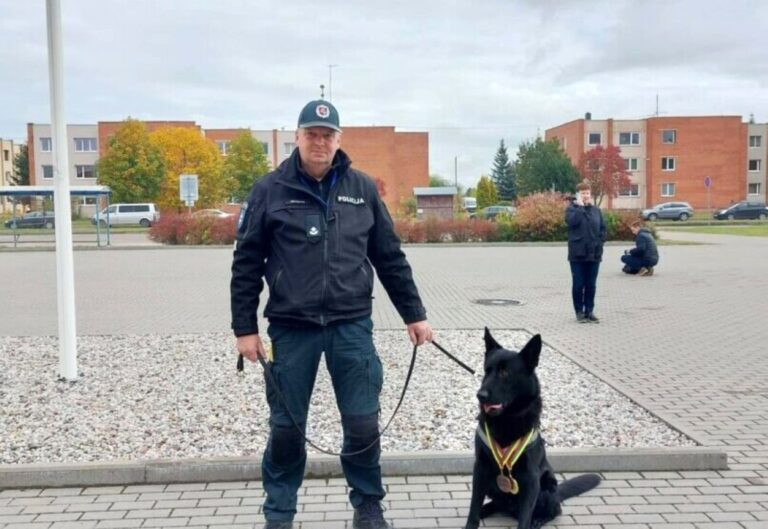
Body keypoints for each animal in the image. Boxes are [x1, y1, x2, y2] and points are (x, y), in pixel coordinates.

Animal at [464, 329, 600, 529]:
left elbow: (524, 517)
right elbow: (473, 508)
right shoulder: (480, 469)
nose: (480, 395)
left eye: (505, 372)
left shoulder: (530, 478)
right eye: (486, 371)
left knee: (555, 510)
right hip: (492, 484)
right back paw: (486, 509)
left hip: (546, 487)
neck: (506, 421)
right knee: (497, 503)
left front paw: (529, 521)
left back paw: (538, 520)